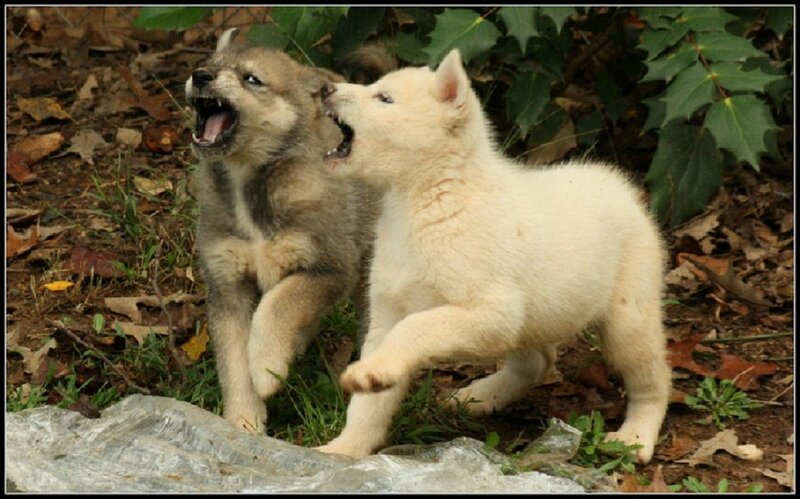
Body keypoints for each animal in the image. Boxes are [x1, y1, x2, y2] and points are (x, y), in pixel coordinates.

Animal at [185, 28, 377, 433]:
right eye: (208, 64)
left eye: (252, 79)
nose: (200, 76)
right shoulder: (227, 286)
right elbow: (233, 361)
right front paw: (243, 420)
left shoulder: (328, 268)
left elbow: (278, 305)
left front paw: (267, 366)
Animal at [316, 49, 671, 464]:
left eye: (384, 98)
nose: (324, 88)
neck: (430, 198)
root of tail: (621, 187)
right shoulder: (389, 312)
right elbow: (369, 404)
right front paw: (343, 449)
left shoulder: (489, 309)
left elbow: (417, 327)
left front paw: (372, 374)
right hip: (533, 317)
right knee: (538, 361)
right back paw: (481, 396)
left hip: (627, 318)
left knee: (653, 378)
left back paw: (636, 436)